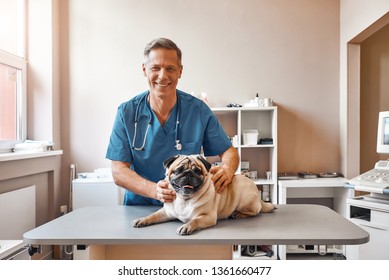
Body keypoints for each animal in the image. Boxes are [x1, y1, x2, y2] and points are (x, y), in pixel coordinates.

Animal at [132, 154, 274, 235]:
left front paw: (186, 226)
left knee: (255, 212)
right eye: (178, 170)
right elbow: (152, 215)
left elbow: (195, 220)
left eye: (197, 171)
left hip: (245, 198)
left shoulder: (207, 217)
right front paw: (142, 220)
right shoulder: (165, 213)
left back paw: (237, 214)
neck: (184, 200)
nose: (188, 173)